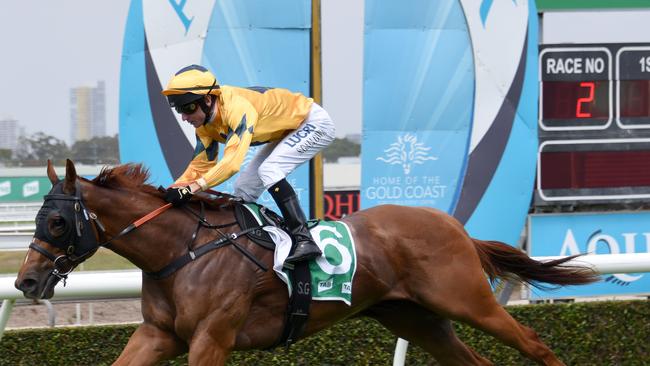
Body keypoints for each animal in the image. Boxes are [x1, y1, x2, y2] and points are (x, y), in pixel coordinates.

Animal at [15, 161, 596, 366]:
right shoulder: (159, 335)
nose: (24, 281)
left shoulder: (211, 338)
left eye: (58, 222)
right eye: (39, 219)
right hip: (414, 317)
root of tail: (451, 223)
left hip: (466, 300)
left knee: (535, 344)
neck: (182, 253)